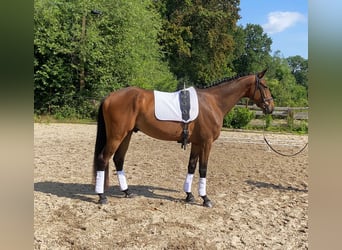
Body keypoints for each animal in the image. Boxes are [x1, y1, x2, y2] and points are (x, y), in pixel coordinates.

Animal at [92, 69, 274, 207]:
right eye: (265, 86)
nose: (270, 107)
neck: (213, 102)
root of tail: (109, 97)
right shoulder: (206, 143)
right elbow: (203, 169)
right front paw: (205, 198)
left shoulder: (197, 143)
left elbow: (191, 166)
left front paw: (189, 195)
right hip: (117, 136)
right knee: (103, 159)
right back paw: (102, 197)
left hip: (126, 135)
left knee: (118, 160)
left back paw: (127, 192)